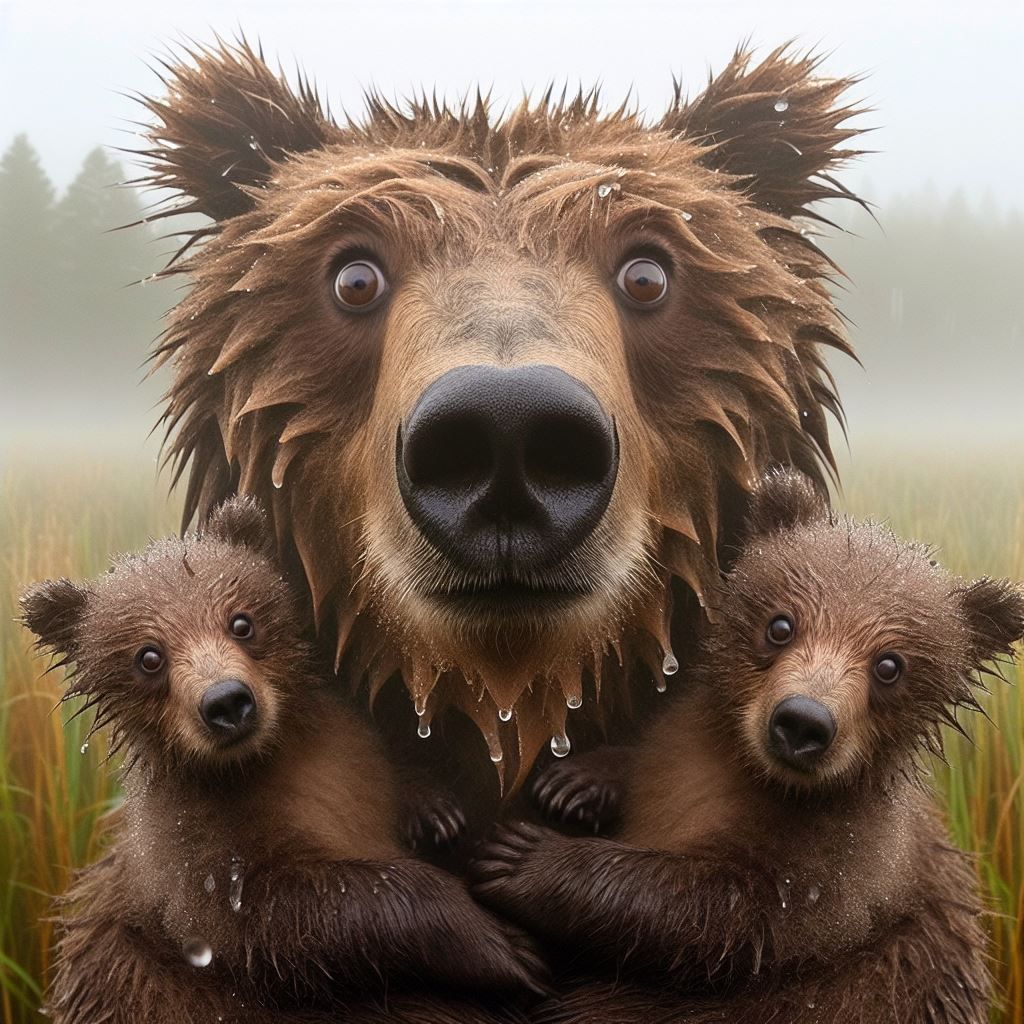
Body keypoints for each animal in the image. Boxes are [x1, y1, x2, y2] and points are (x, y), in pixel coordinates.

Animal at [20, 496, 546, 1024]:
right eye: (148, 656)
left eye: (242, 621)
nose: (227, 702)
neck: (268, 761)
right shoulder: (196, 861)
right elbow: (284, 919)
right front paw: (502, 944)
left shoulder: (348, 756)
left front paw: (435, 810)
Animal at [468, 469, 1024, 1024]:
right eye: (780, 624)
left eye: (890, 665)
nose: (802, 722)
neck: (749, 775)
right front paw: (575, 783)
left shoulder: (840, 869)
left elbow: (720, 915)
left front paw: (522, 858)